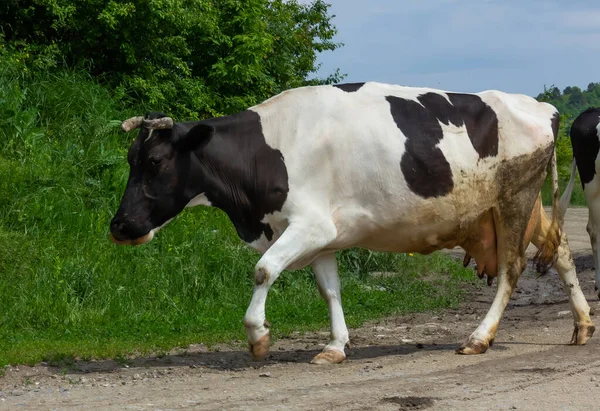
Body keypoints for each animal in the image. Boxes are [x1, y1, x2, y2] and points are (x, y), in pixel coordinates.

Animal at [110, 82, 592, 366]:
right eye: (130, 159)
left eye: (155, 161)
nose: (120, 226)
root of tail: (541, 105)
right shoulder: (323, 237)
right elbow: (330, 291)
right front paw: (334, 346)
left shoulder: (310, 225)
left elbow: (263, 270)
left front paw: (258, 336)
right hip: (523, 207)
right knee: (562, 250)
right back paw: (583, 325)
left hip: (515, 199)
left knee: (512, 268)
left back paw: (479, 337)